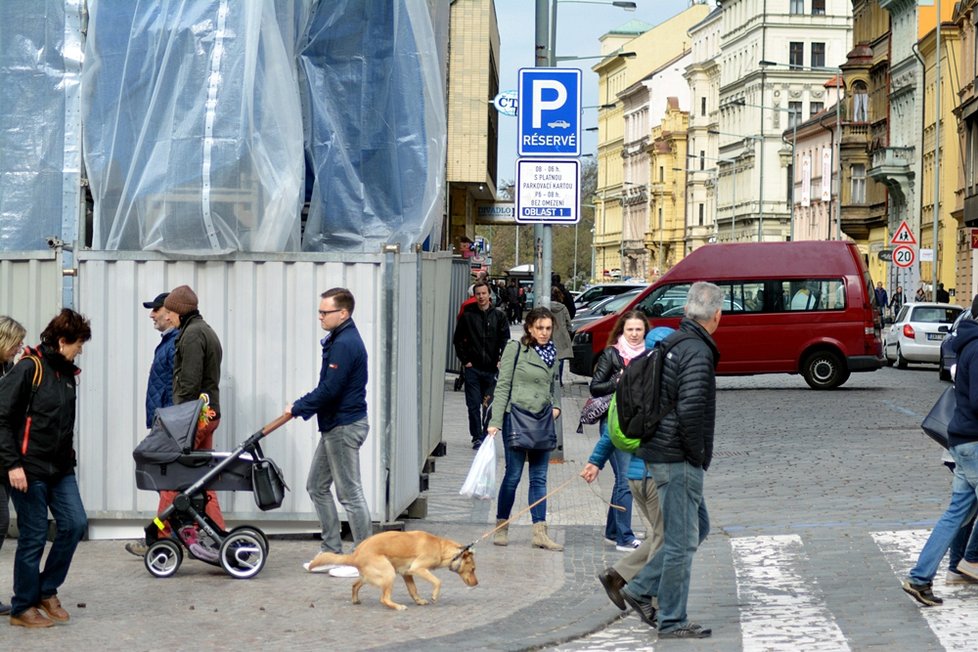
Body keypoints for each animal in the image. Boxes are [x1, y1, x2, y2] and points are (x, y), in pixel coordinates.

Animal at [304, 528, 474, 612]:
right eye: (473, 569)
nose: (476, 583)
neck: (440, 547)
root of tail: (355, 555)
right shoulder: (418, 568)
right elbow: (438, 581)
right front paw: (434, 596)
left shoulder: (407, 574)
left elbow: (413, 590)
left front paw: (419, 601)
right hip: (388, 573)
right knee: (384, 598)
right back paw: (397, 606)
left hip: (373, 575)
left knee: (355, 585)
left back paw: (356, 600)